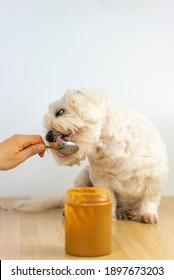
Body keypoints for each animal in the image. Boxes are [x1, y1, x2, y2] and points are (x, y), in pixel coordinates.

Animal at [13, 89, 169, 223]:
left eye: (60, 112)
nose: (48, 136)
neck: (111, 150)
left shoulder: (156, 176)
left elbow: (150, 199)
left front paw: (148, 215)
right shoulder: (102, 180)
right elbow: (111, 199)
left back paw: (128, 212)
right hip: (82, 178)